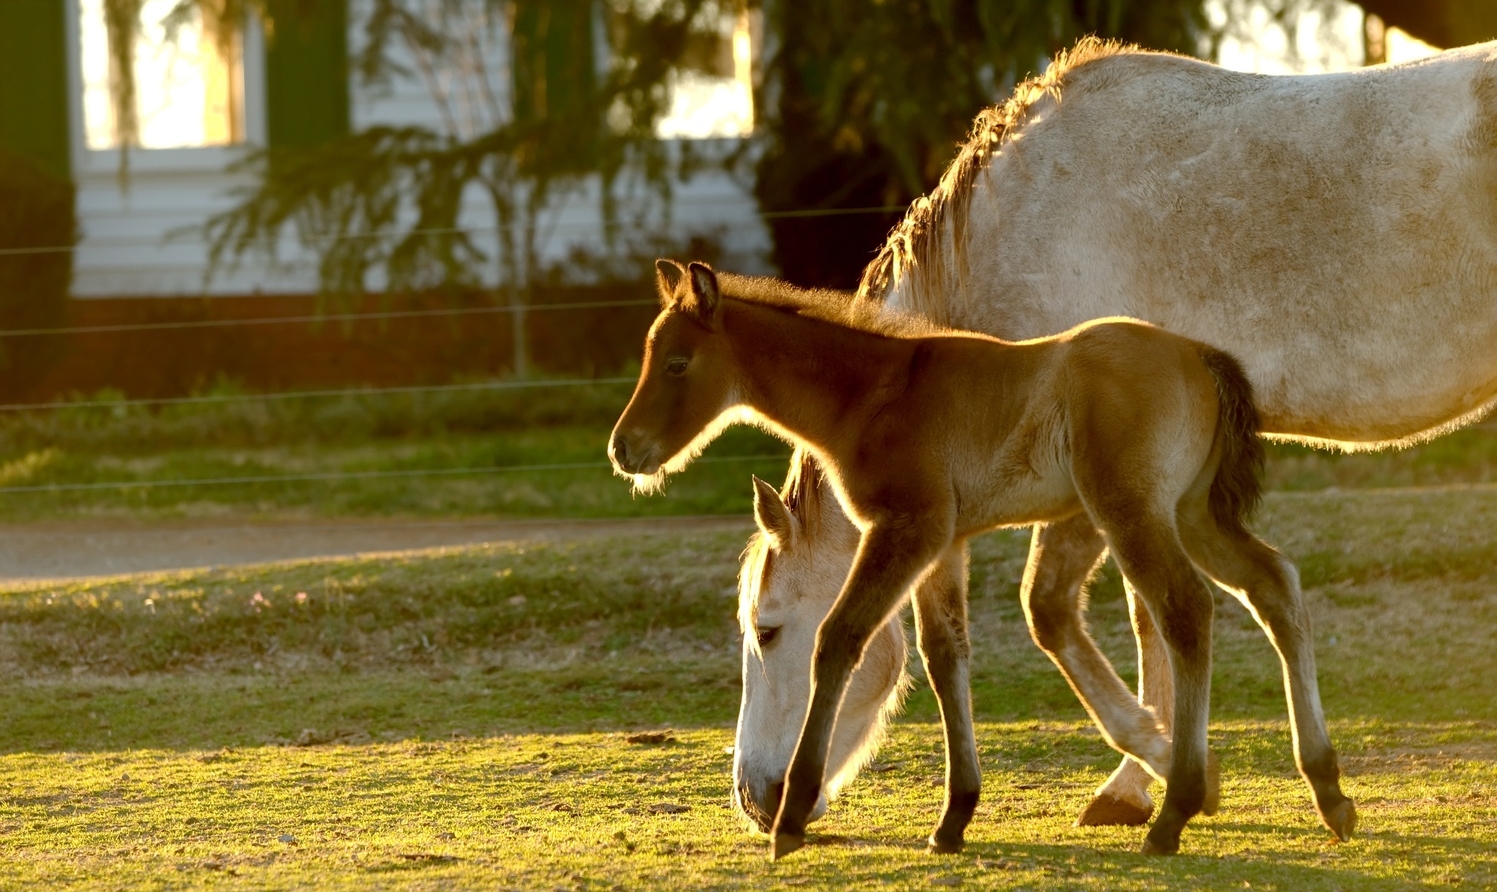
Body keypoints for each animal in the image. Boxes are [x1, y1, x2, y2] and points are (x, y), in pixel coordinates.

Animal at [609, 259, 1354, 858]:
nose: (624, 449)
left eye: (676, 363)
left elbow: (839, 638)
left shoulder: (906, 528)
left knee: (1185, 611)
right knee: (1274, 585)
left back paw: (1175, 812)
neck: (876, 393)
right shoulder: (945, 543)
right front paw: (953, 818)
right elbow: (946, 659)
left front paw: (791, 819)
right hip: (1192, 513)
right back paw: (1327, 790)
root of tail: (1200, 354)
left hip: (1132, 512)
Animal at [733, 36, 1497, 838]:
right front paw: (1155, 778)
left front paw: (1164, 775)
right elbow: (1141, 617)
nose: (753, 798)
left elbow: (1064, 610)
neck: (1022, 222)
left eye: (766, 629)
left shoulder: (1100, 471)